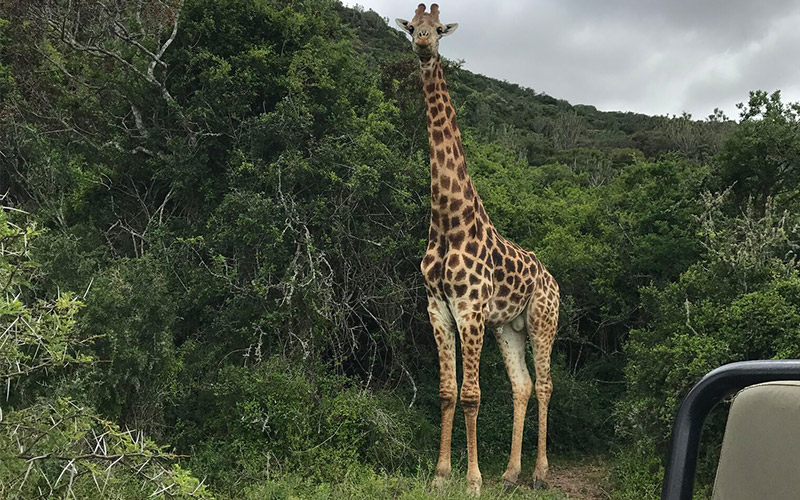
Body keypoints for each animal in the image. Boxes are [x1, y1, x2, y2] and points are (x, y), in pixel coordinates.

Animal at [396, 3, 560, 496]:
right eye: (411, 27)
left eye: (438, 29)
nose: (423, 44)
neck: (448, 221)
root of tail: (554, 282)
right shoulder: (437, 308)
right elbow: (448, 393)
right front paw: (440, 474)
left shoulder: (470, 310)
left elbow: (471, 395)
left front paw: (470, 480)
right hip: (509, 327)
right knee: (522, 386)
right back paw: (510, 473)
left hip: (543, 322)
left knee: (544, 385)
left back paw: (539, 473)